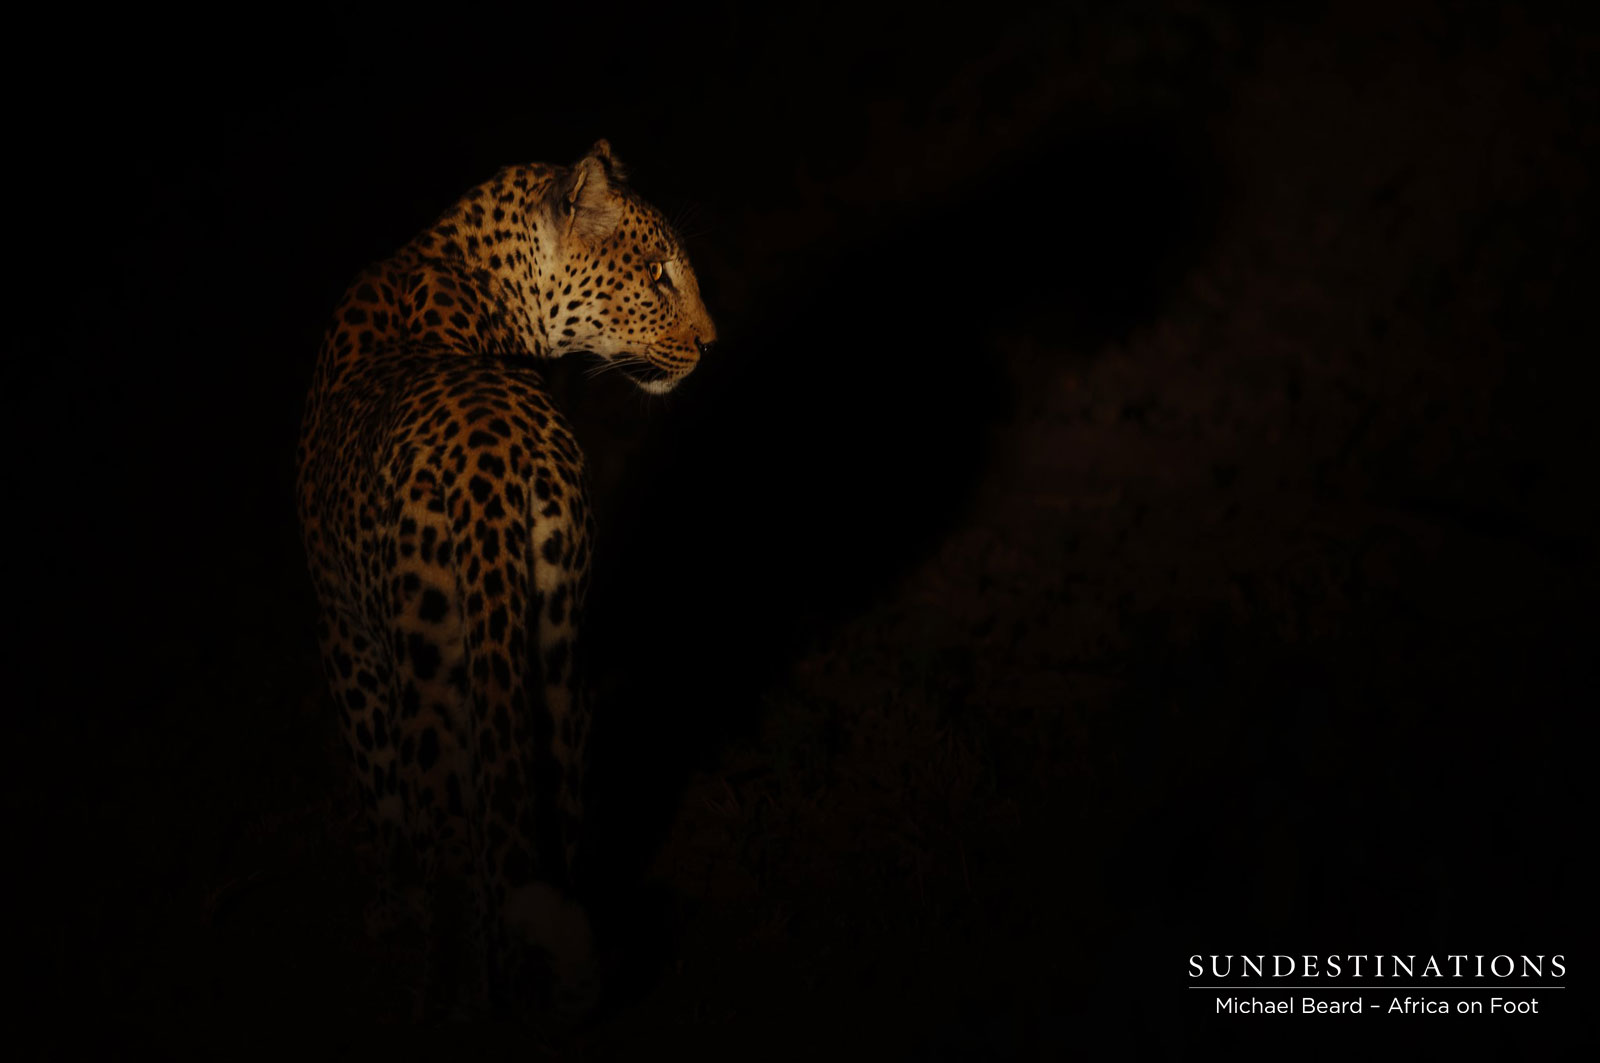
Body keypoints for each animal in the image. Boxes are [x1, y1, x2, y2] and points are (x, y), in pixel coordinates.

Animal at [295, 140, 716, 1021]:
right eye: (659, 274)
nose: (710, 342)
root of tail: (485, 462)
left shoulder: (345, 640)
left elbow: (383, 812)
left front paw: (386, 911)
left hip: (429, 676)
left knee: (460, 863)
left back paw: (457, 1000)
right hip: (554, 650)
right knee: (556, 837)